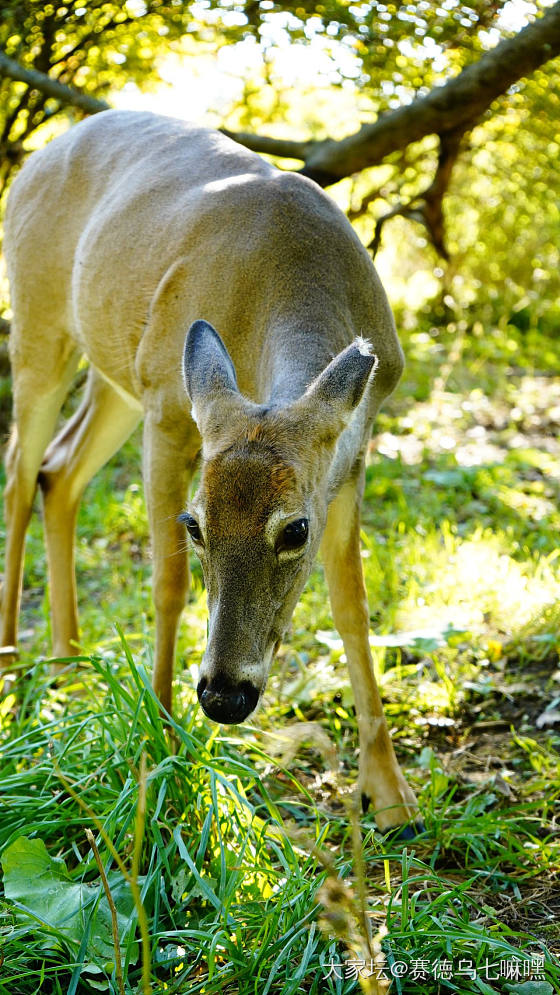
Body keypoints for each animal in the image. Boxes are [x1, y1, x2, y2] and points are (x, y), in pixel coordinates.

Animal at [0, 109, 420, 836]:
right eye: (194, 525)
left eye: (295, 530)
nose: (224, 696)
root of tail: (36, 158)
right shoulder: (169, 408)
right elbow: (167, 583)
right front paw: (160, 745)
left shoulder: (353, 455)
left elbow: (353, 608)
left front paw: (389, 793)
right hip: (40, 323)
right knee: (19, 474)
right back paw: (10, 666)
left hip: (116, 372)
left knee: (60, 469)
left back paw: (68, 658)